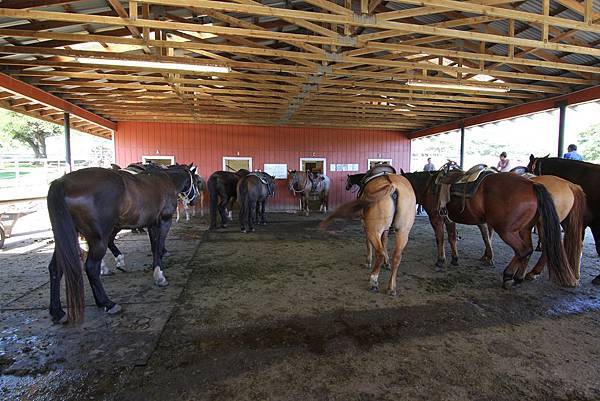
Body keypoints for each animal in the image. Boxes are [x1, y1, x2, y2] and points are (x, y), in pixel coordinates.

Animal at [47, 162, 197, 322]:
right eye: (195, 180)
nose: (195, 200)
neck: (166, 180)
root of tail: (62, 182)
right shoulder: (164, 221)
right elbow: (158, 247)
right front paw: (160, 276)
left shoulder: (151, 224)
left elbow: (154, 247)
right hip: (99, 238)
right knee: (91, 268)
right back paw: (108, 303)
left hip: (67, 237)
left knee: (56, 268)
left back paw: (58, 311)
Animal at [400, 169, 580, 288]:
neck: (429, 186)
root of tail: (532, 184)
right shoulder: (449, 219)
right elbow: (451, 238)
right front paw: (455, 259)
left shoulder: (436, 218)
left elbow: (440, 238)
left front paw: (440, 260)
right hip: (525, 229)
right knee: (528, 249)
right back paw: (520, 277)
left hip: (507, 230)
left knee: (523, 250)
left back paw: (509, 276)